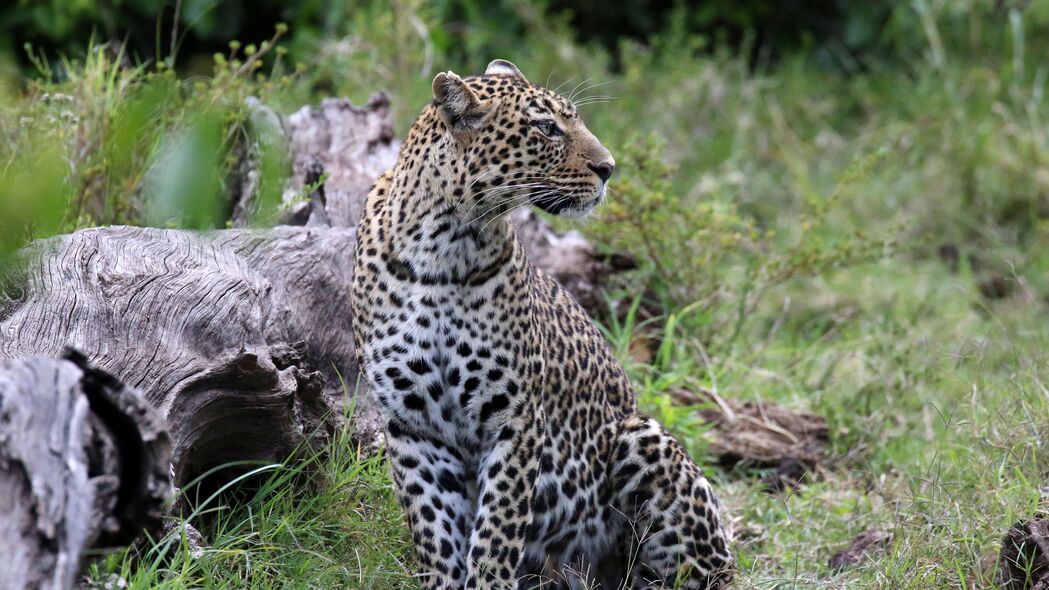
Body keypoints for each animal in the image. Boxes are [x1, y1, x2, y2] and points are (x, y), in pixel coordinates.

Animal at [350, 59, 730, 587]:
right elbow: (434, 530)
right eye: (546, 127)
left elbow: (496, 532)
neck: (443, 243)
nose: (609, 168)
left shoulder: (515, 418)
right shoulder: (412, 425)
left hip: (643, 440)